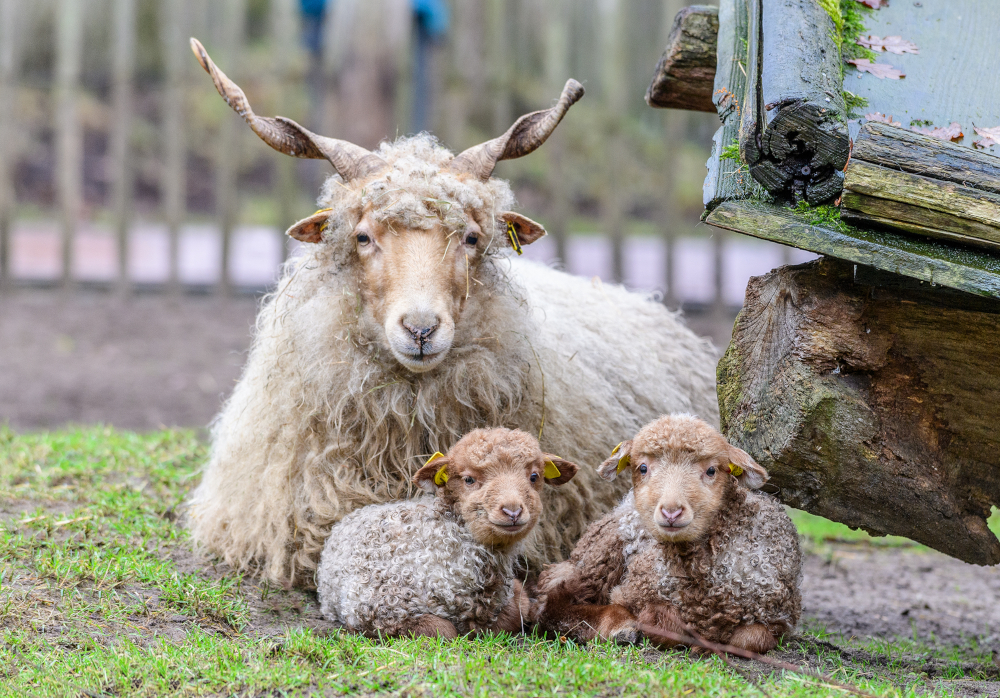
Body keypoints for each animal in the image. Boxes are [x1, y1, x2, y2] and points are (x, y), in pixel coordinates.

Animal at [317, 427, 579, 638]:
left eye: (534, 476)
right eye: (468, 479)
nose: (512, 511)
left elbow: (514, 612)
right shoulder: (378, 606)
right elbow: (443, 630)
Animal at [535, 414, 801, 654]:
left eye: (712, 470)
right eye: (642, 468)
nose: (671, 511)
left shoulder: (778, 616)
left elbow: (751, 639)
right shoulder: (634, 592)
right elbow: (665, 625)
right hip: (600, 557)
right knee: (553, 602)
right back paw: (620, 627)